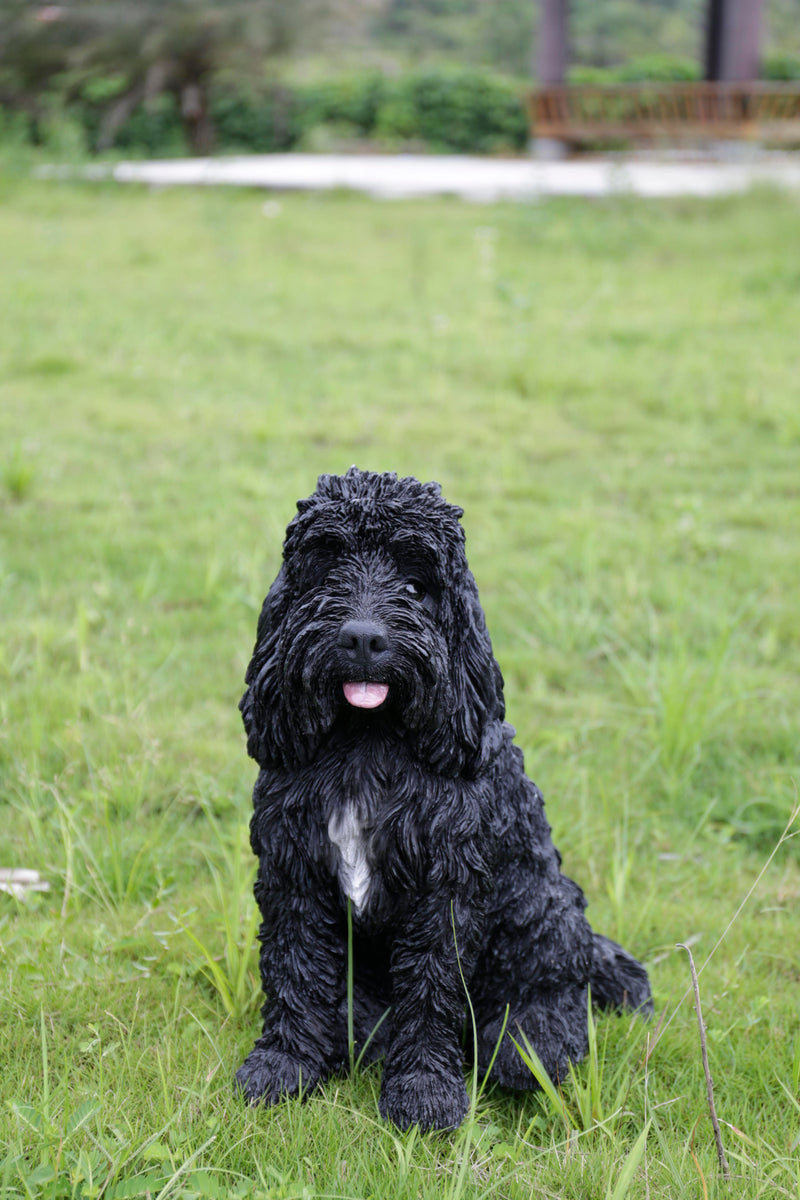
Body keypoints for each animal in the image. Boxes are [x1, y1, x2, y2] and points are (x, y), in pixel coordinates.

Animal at [232, 470, 652, 1132]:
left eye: (415, 584)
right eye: (328, 571)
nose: (363, 637)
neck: (369, 741)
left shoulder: (446, 886)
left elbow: (431, 988)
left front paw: (423, 1090)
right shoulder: (292, 869)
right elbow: (295, 969)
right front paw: (285, 1062)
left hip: (545, 910)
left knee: (556, 995)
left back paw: (528, 1043)